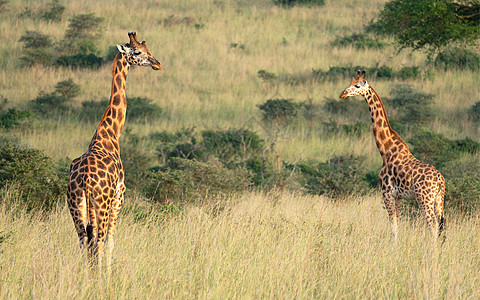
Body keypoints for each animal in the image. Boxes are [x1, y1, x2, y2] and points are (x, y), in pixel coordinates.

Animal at [66, 31, 162, 268]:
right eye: (138, 52)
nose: (157, 64)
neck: (110, 132)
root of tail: (85, 181)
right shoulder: (120, 195)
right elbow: (111, 242)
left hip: (76, 204)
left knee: (84, 242)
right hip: (102, 204)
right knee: (98, 242)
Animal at [338, 70, 446, 241]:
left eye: (357, 86)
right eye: (349, 83)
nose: (342, 94)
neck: (386, 150)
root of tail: (440, 180)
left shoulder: (387, 193)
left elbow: (393, 227)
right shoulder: (399, 197)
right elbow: (397, 225)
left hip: (425, 199)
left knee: (433, 226)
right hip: (439, 200)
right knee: (441, 226)